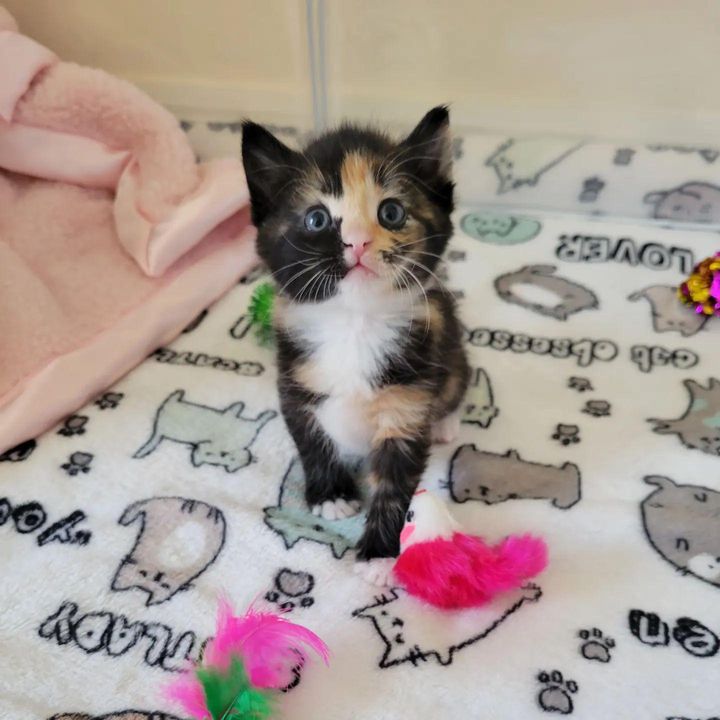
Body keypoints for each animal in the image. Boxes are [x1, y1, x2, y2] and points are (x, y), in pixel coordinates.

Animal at [239, 107, 470, 584]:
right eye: (317, 219)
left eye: (391, 212)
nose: (359, 241)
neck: (354, 324)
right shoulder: (295, 383)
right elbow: (310, 440)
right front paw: (330, 495)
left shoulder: (408, 401)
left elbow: (395, 481)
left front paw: (380, 554)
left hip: (453, 351)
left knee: (458, 381)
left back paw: (446, 422)